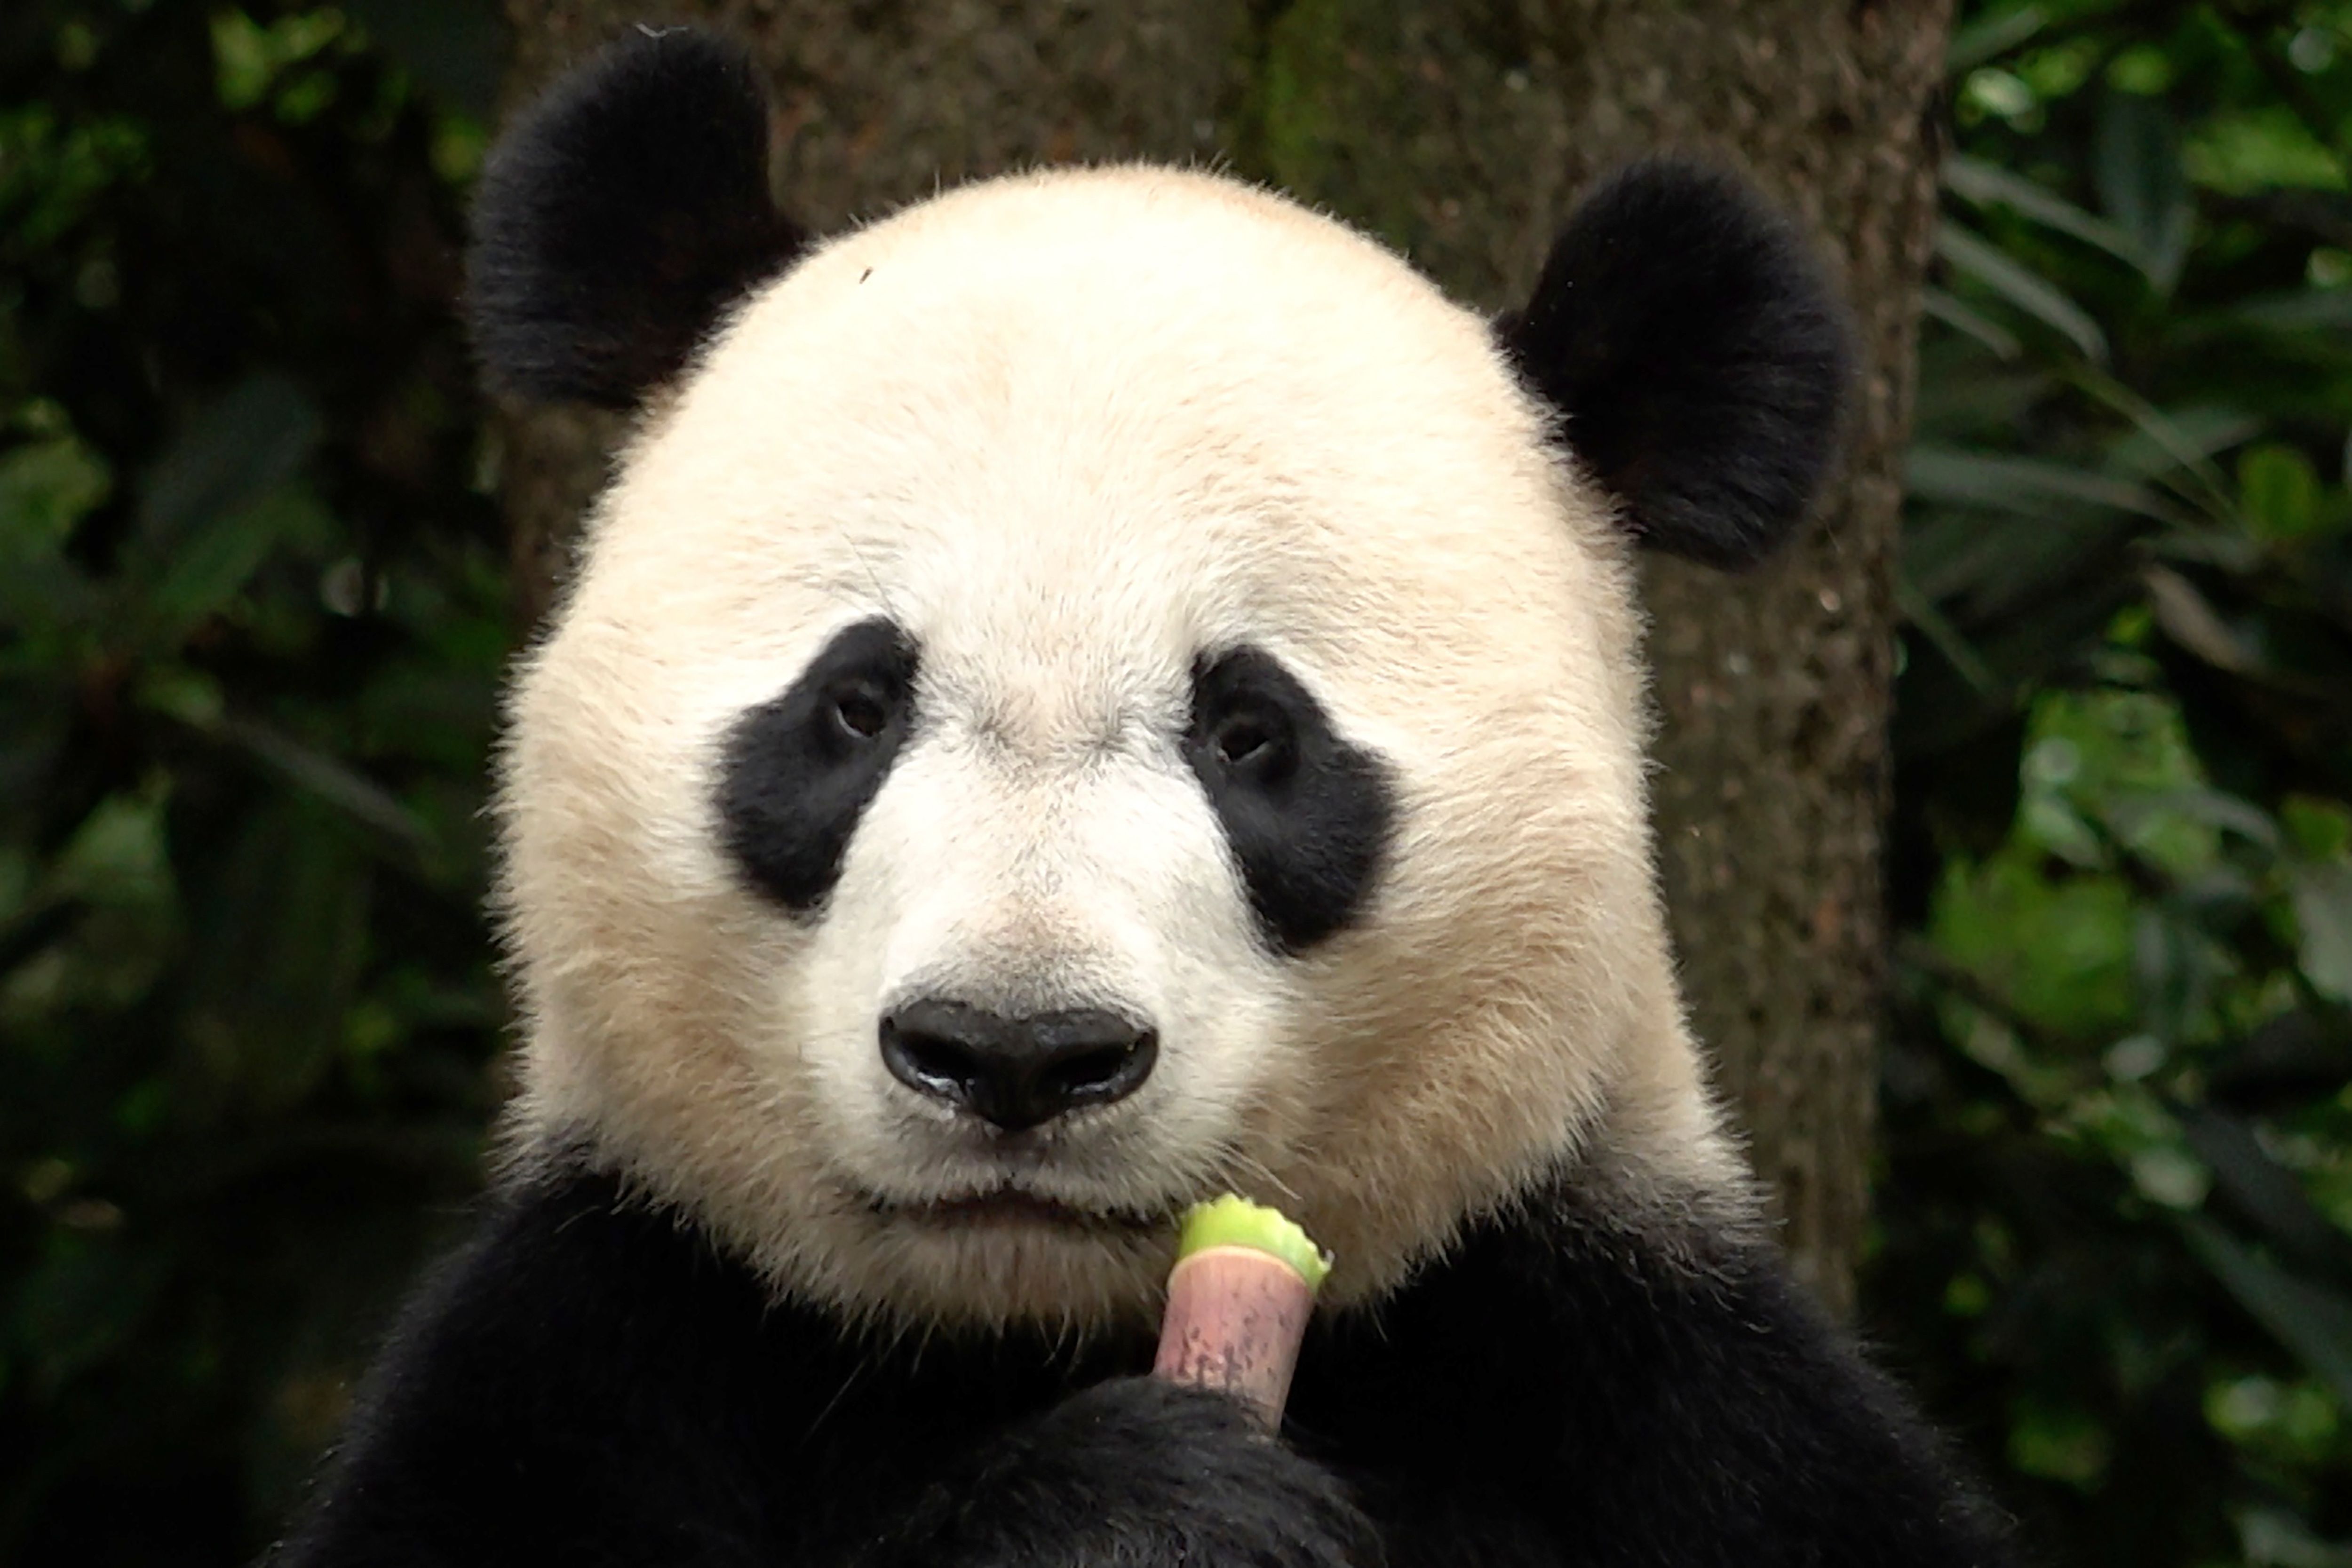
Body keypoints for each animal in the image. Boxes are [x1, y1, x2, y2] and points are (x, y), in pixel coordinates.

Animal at [279, 27, 2016, 1568]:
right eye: (855, 704)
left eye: (1251, 734)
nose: (1017, 1052)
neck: (1023, 1335)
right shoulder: (606, 1330)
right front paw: (1141, 1510)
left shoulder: (1648, 1383)